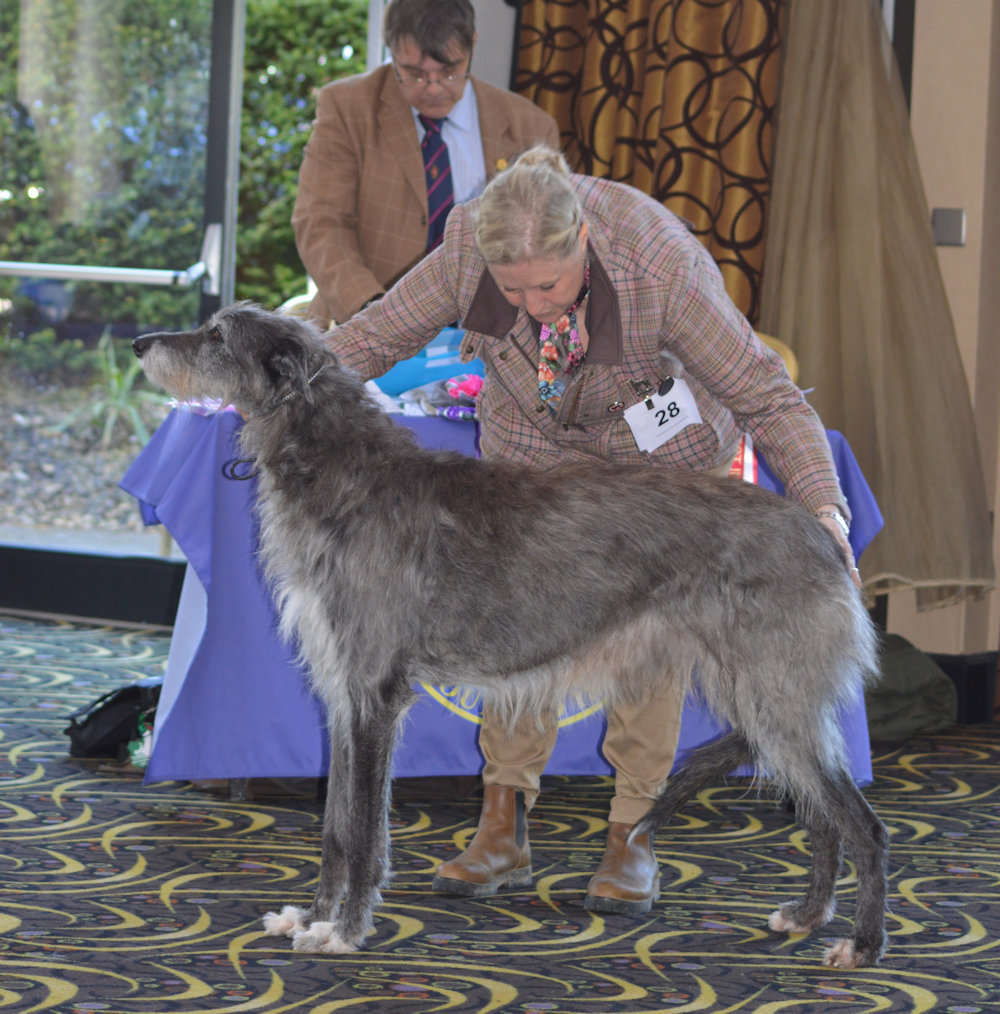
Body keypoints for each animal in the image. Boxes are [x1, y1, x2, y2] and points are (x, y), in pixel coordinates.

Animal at [134, 302, 888, 965]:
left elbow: (364, 827)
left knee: (863, 823)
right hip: (766, 701)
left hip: (774, 695)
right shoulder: (342, 694)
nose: (140, 343)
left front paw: (346, 932)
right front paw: (314, 918)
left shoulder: (376, 691)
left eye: (216, 335)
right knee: (822, 812)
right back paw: (808, 915)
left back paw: (861, 944)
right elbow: (335, 827)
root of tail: (823, 537)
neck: (343, 473)